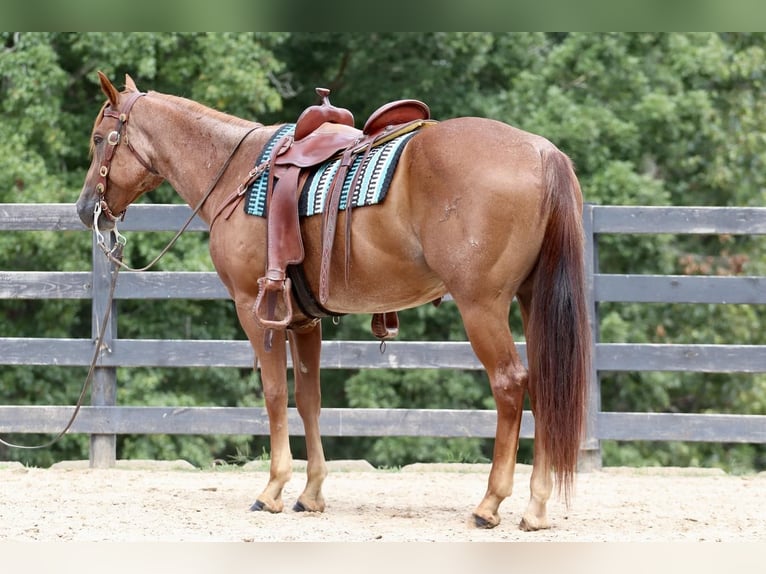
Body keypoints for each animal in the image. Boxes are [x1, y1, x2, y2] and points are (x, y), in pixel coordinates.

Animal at [78, 73, 592, 536]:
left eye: (101, 139)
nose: (86, 210)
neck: (235, 169)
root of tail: (541, 152)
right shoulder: (305, 321)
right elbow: (309, 399)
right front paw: (310, 494)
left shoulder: (255, 311)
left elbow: (274, 394)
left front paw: (273, 489)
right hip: (530, 301)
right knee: (545, 385)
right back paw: (536, 508)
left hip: (481, 306)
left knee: (510, 384)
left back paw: (490, 504)